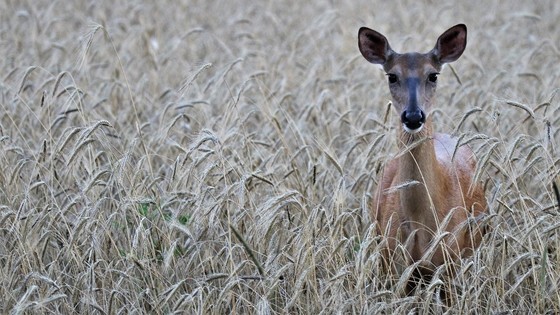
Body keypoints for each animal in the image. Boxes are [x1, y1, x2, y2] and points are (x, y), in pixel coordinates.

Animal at [358, 24, 486, 292]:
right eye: (392, 76)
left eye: (433, 75)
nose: (414, 116)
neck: (420, 222)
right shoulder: (393, 264)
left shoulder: (450, 263)